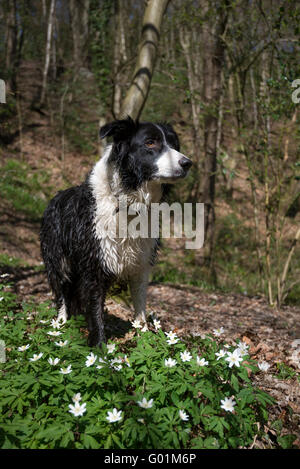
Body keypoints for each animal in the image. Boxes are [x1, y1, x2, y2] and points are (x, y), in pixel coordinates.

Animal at [40, 117, 192, 344]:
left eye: (174, 144)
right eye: (150, 143)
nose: (187, 163)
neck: (127, 202)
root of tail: (54, 198)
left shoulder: (141, 264)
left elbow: (140, 307)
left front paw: (143, 338)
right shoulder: (94, 264)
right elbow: (95, 310)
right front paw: (99, 346)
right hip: (58, 261)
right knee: (61, 293)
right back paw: (60, 325)